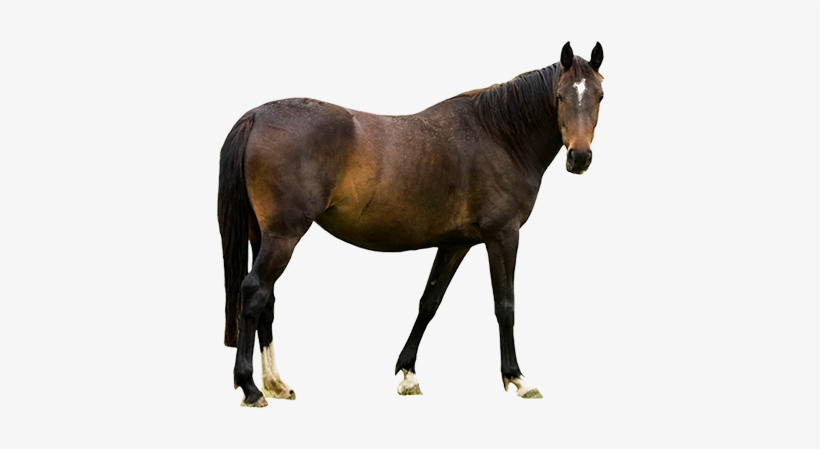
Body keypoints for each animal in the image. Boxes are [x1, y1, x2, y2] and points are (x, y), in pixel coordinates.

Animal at [218, 41, 604, 406]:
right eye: (560, 96)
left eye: (599, 95)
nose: (579, 157)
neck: (501, 135)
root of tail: (256, 116)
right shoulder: (503, 236)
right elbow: (504, 306)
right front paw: (518, 378)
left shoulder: (455, 243)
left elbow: (429, 302)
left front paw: (408, 374)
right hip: (283, 237)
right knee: (254, 291)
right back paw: (251, 388)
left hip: (263, 236)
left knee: (267, 299)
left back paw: (276, 384)